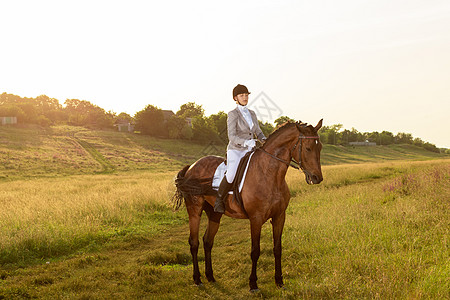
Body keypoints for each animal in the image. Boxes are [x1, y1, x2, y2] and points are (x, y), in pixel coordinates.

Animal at [172, 119, 324, 290]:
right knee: (194, 242)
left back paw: (210, 276)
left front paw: (279, 281)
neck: (270, 174)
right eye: (308, 148)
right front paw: (253, 284)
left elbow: (277, 248)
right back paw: (197, 279)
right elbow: (255, 251)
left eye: (320, 147)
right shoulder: (256, 219)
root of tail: (192, 167)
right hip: (194, 210)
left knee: (207, 241)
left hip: (214, 213)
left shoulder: (279, 217)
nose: (317, 178)